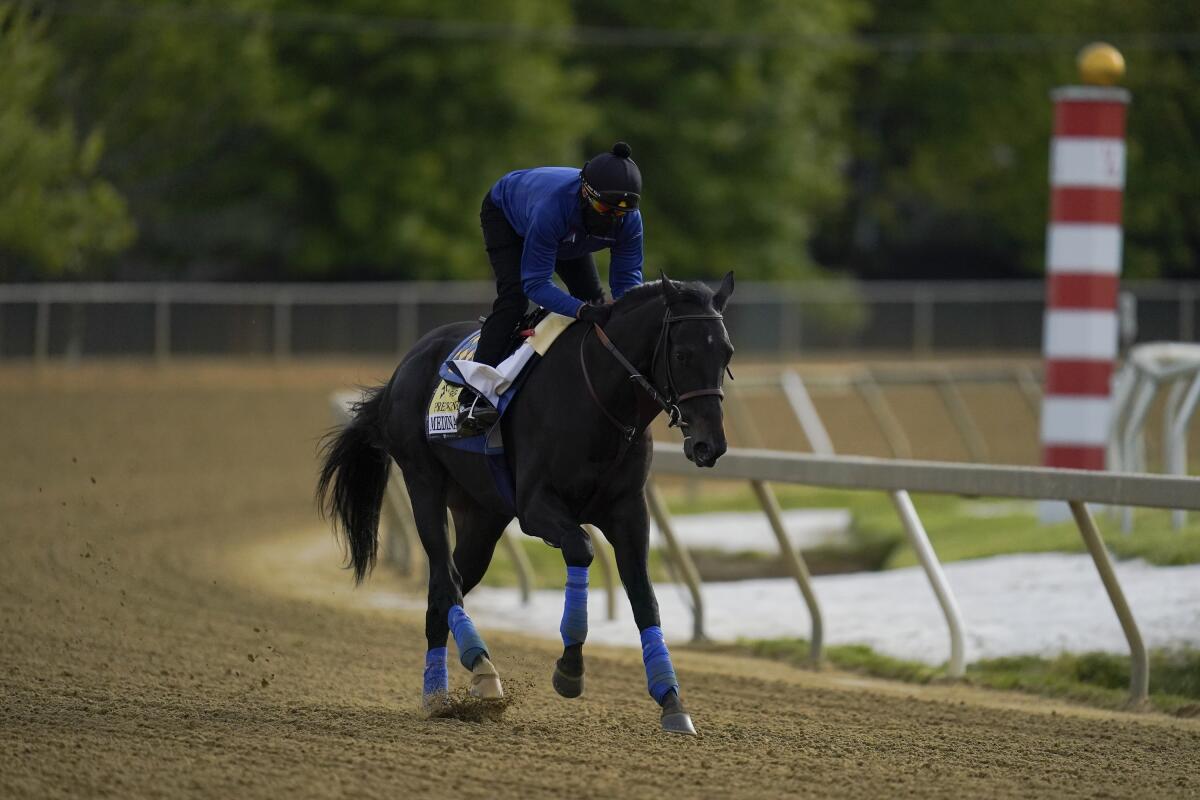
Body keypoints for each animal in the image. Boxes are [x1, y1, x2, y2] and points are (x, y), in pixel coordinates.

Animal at [316, 272, 729, 734]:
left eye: (726, 352)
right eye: (682, 353)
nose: (709, 445)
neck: (600, 402)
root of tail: (402, 370)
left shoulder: (629, 512)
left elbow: (644, 595)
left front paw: (671, 699)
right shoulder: (535, 507)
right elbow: (581, 548)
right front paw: (570, 669)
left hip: (482, 516)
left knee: (443, 591)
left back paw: (438, 694)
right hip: (423, 483)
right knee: (445, 578)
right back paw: (480, 672)